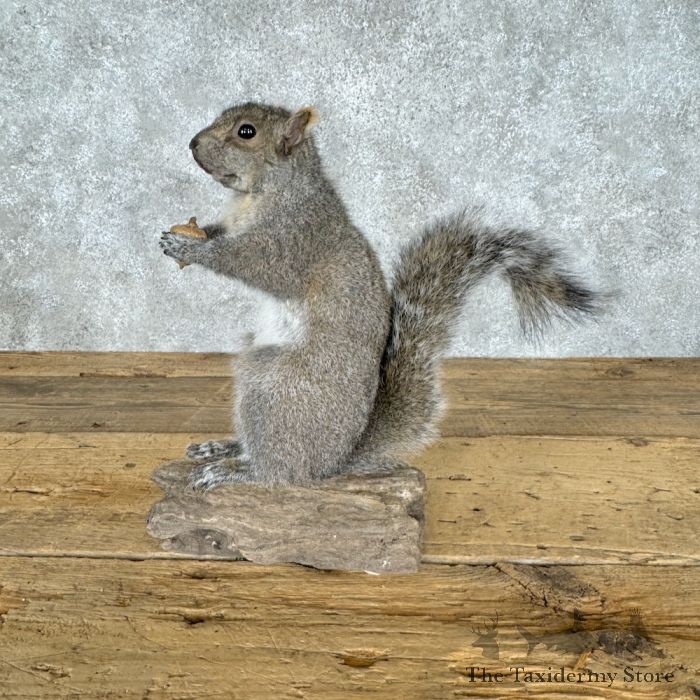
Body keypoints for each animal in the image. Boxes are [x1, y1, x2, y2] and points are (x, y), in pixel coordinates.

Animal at [160, 102, 600, 490]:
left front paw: (192, 249)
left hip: (274, 389)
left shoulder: (297, 237)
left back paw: (239, 472)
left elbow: (254, 264)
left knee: (281, 473)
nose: (192, 144)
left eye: (246, 132)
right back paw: (223, 448)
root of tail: (335, 460)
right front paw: (183, 236)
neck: (258, 192)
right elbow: (218, 231)